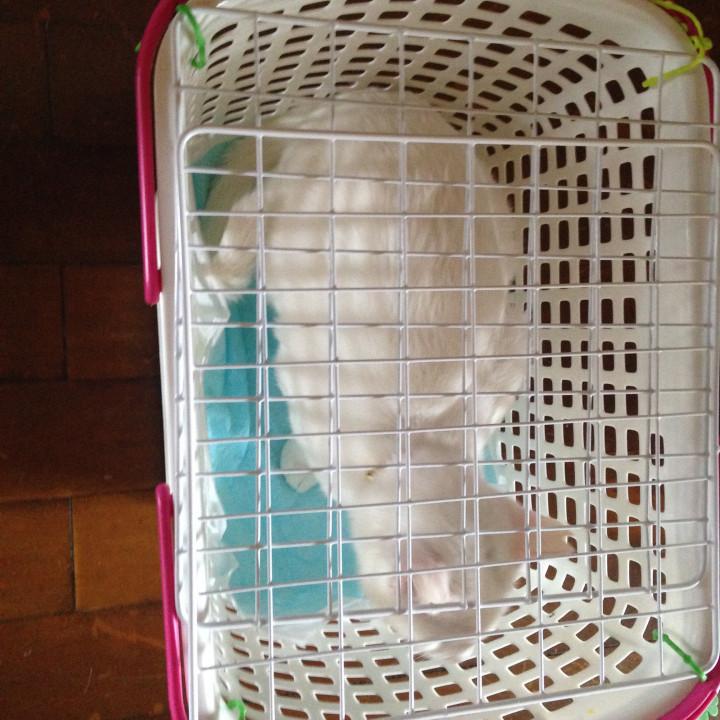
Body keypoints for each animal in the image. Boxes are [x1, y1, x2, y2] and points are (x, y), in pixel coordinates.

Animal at [199, 93, 571, 659]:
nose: (422, 658)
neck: (422, 440)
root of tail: (353, 104)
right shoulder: (306, 392)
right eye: (419, 643)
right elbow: (309, 449)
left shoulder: (507, 359)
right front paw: (300, 468)